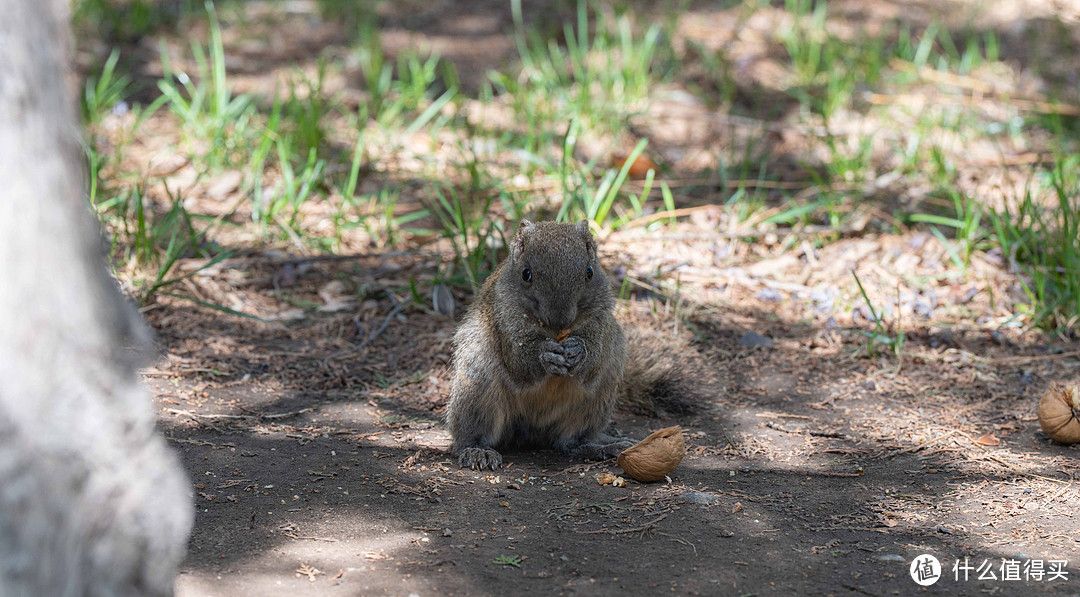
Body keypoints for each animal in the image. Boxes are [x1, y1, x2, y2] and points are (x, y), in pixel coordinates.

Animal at [442, 219, 686, 470]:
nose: (560, 319)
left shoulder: (601, 320)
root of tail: (531, 433)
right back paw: (477, 450)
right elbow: (519, 360)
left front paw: (578, 351)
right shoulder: (504, 320)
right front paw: (545, 355)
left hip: (598, 396)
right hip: (478, 385)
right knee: (473, 431)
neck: (553, 332)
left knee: (570, 441)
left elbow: (594, 356)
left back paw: (599, 446)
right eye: (526, 274)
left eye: (589, 272)